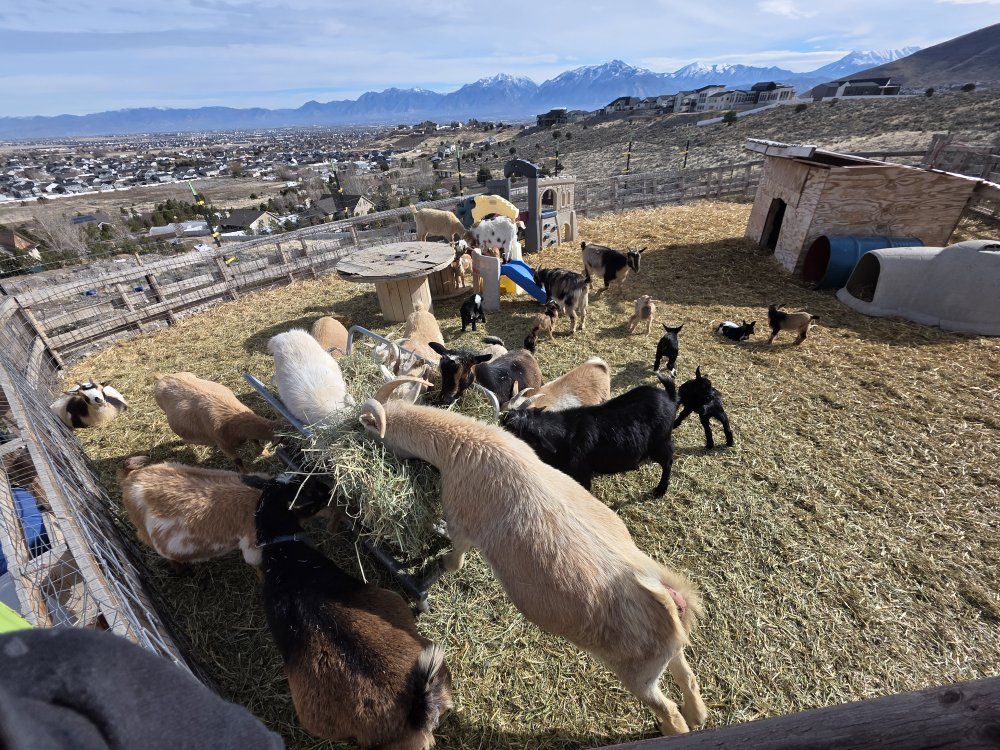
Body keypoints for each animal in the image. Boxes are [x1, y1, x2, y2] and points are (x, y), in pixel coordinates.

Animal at [501, 374, 678, 497]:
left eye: (515, 431)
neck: (565, 434)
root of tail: (670, 398)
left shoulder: (582, 472)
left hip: (661, 441)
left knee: (668, 462)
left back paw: (660, 490)